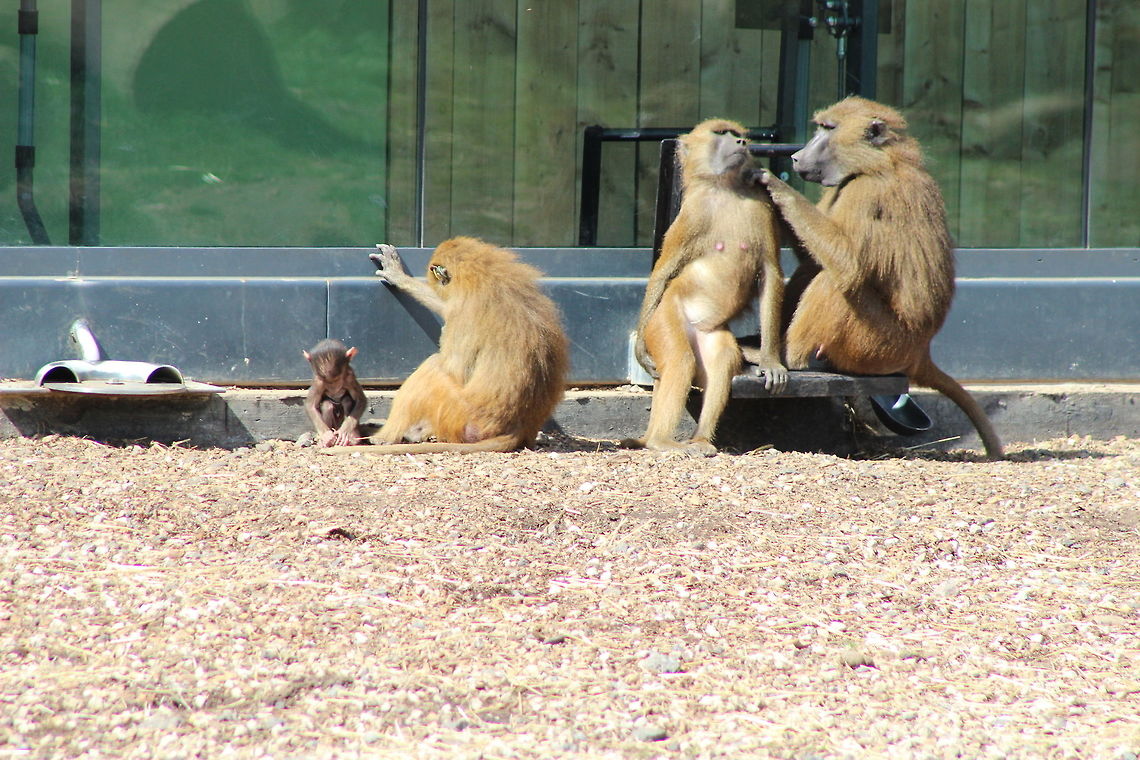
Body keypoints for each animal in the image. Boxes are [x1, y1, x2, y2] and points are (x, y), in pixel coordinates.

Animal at [325, 236, 569, 454]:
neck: (488, 277)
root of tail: (517, 430)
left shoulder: (464, 313)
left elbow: (456, 370)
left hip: (463, 417)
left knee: (433, 369)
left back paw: (385, 437)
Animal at [626, 118, 786, 457]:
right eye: (721, 134)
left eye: (737, 134)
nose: (740, 143)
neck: (725, 189)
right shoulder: (692, 214)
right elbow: (663, 271)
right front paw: (640, 354)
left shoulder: (763, 205)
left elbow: (770, 272)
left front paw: (769, 361)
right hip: (664, 318)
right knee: (680, 360)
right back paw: (661, 441)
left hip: (708, 332)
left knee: (722, 358)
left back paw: (700, 440)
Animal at [754, 96, 1003, 459]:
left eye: (828, 129)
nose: (797, 157)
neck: (881, 161)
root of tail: (920, 354)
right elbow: (812, 256)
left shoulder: (865, 192)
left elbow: (847, 265)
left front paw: (775, 185)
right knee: (816, 269)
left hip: (876, 346)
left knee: (835, 281)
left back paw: (788, 358)